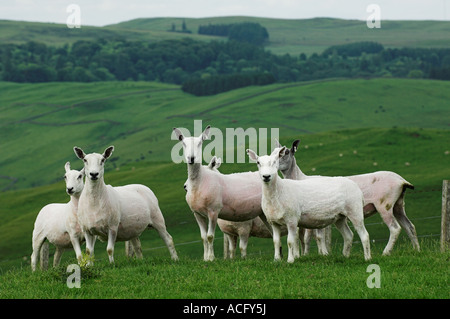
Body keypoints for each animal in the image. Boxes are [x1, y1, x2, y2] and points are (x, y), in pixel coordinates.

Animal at [173, 125, 272, 262]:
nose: (191, 158)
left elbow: (210, 236)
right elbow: (203, 237)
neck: (200, 181)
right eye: (183, 143)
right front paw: (205, 258)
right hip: (262, 213)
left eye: (200, 143)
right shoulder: (197, 213)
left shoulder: (213, 211)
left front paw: (211, 258)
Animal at [276, 139, 420, 256]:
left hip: (385, 205)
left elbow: (313, 237)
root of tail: (401, 180)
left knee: (395, 229)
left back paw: (386, 252)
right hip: (398, 205)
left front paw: (318, 254)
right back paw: (416, 250)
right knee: (410, 226)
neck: (300, 178)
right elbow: (312, 237)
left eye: (286, 152)